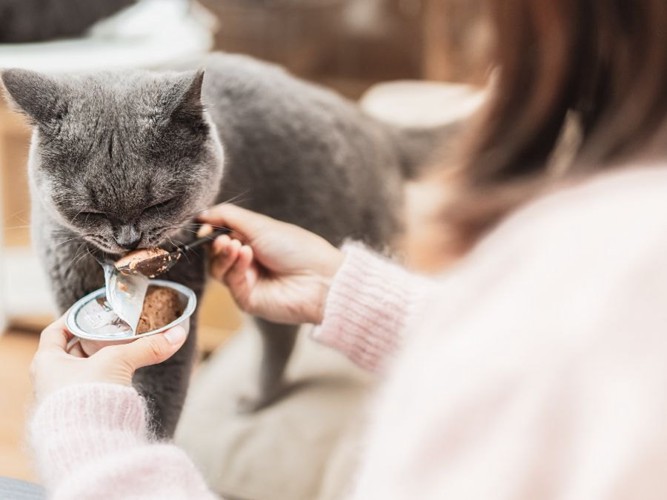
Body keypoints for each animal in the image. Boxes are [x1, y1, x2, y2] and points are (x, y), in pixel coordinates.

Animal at [1, 53, 448, 438]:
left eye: (159, 203)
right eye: (89, 211)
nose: (128, 238)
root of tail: (368, 119)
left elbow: (158, 404)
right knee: (282, 333)